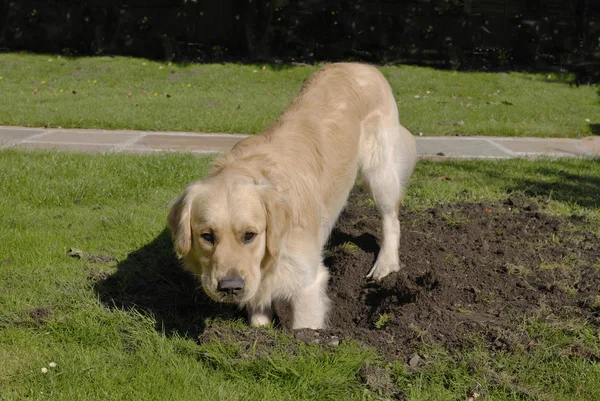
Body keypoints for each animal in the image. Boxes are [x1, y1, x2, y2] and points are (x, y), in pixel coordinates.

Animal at [166, 62, 414, 328]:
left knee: (391, 219)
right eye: (207, 236)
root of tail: (360, 64)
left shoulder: (308, 285)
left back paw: (385, 265)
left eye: (250, 235)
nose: (230, 287)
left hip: (380, 172)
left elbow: (304, 327)